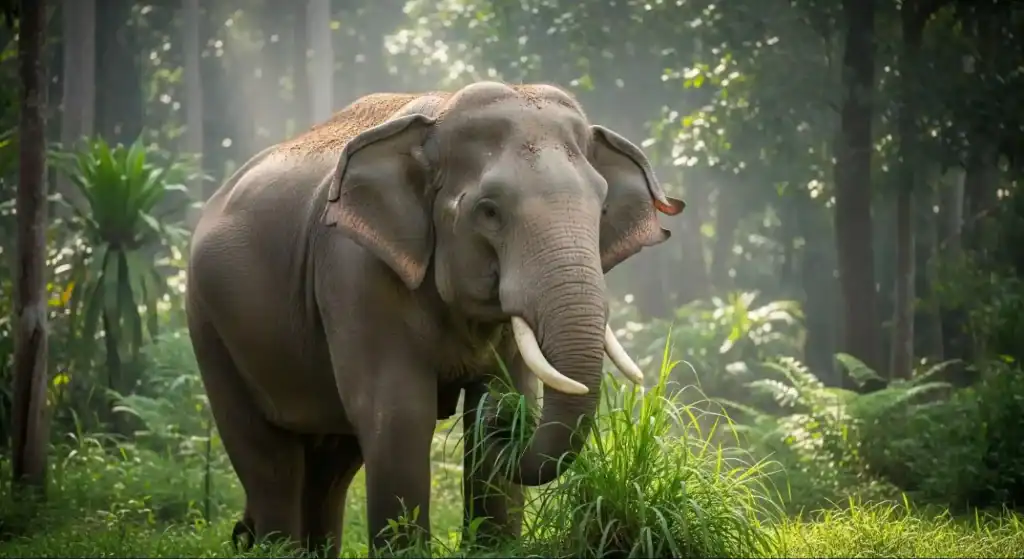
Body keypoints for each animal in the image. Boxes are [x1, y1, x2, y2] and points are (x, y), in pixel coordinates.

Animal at [185, 81, 684, 555]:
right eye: (489, 211)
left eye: (601, 208)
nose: (506, 422)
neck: (440, 113)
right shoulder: (355, 270)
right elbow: (400, 413)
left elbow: (498, 389)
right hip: (209, 325)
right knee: (268, 459)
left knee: (331, 463)